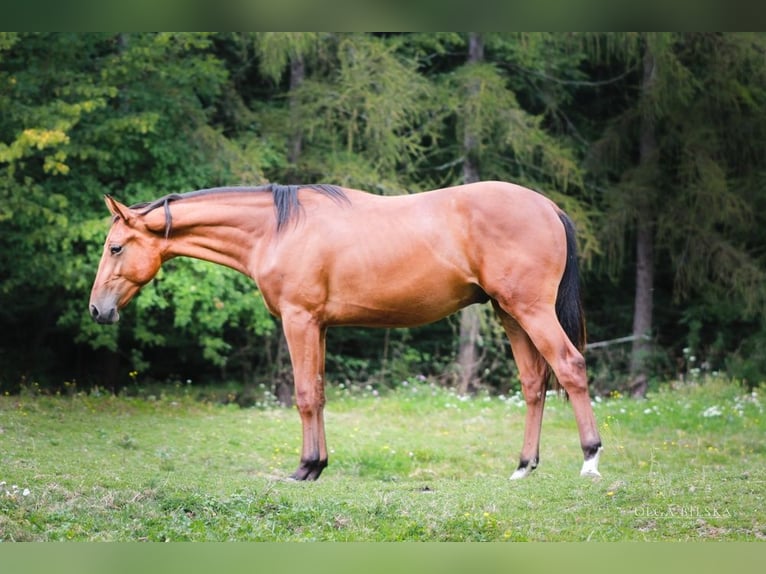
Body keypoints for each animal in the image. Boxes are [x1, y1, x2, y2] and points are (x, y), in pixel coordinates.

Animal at [88, 181, 603, 481]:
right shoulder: (317, 325)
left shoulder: (298, 320)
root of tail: (548, 207)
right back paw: (523, 468)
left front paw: (302, 469)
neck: (277, 229)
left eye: (115, 248)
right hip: (510, 314)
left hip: (531, 311)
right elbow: (317, 393)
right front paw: (317, 465)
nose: (97, 309)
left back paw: (590, 460)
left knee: (571, 367)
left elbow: (303, 395)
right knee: (534, 384)